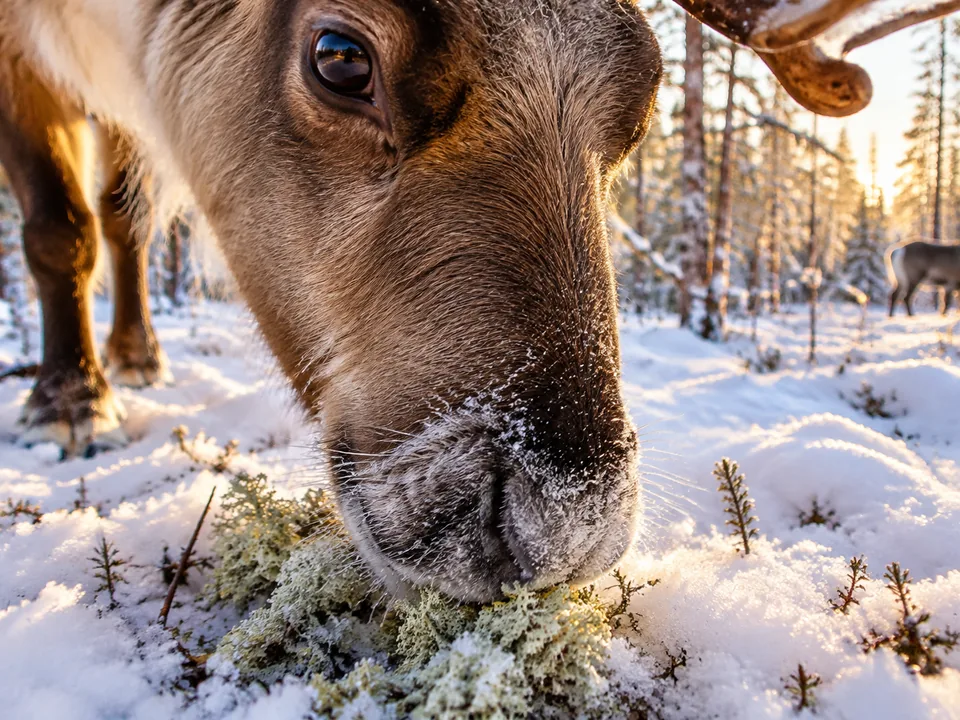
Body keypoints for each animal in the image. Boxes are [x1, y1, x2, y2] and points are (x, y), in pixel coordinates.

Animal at [0, 0, 953, 602]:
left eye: (639, 115)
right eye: (340, 57)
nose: (561, 530)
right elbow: (57, 228)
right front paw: (68, 402)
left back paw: (136, 354)